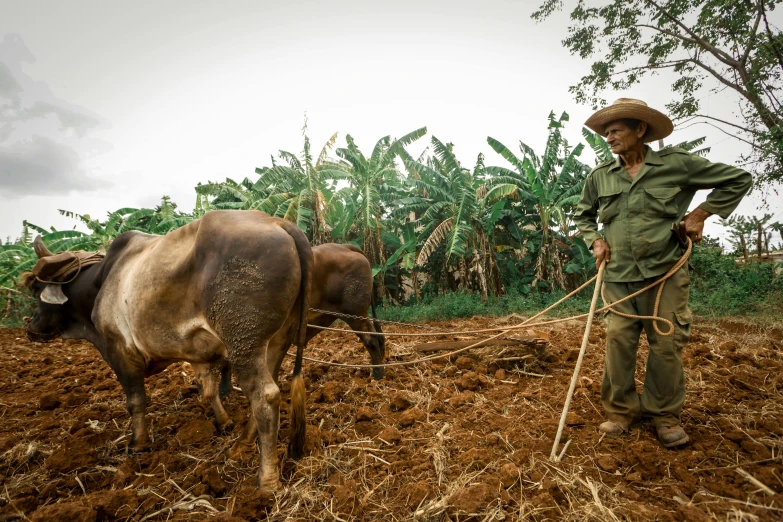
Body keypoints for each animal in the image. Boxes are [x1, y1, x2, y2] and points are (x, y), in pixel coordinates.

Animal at [24, 209, 312, 490]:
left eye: (37, 291)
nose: (31, 327)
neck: (100, 281)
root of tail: (277, 223)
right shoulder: (198, 353)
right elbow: (208, 391)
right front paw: (224, 422)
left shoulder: (120, 351)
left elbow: (136, 402)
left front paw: (138, 443)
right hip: (275, 342)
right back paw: (240, 446)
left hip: (244, 344)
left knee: (265, 396)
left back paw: (267, 480)